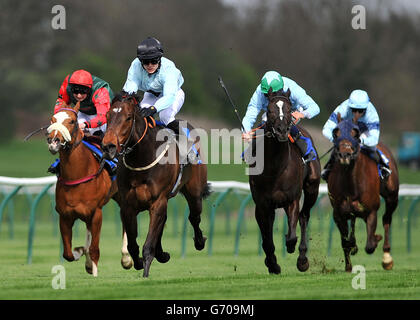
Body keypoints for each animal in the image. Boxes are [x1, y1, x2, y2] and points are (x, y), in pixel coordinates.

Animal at [45, 102, 132, 276]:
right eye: (52, 119)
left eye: (72, 121)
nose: (53, 141)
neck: (78, 174)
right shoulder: (65, 215)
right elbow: (68, 253)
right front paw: (80, 253)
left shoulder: (97, 213)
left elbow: (94, 249)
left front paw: (94, 271)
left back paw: (126, 257)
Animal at [100, 92, 208, 278]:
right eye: (107, 116)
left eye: (128, 117)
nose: (108, 147)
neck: (142, 157)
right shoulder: (128, 206)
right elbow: (132, 244)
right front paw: (138, 262)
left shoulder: (157, 201)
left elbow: (148, 243)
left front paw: (146, 272)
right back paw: (162, 254)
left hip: (194, 192)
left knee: (194, 217)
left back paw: (199, 242)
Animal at [248, 89, 320, 274]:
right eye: (269, 110)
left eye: (289, 108)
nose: (281, 130)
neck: (276, 168)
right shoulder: (262, 204)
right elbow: (267, 240)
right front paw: (272, 264)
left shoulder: (291, 199)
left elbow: (292, 235)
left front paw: (292, 248)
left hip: (312, 188)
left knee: (304, 216)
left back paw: (302, 259)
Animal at [326, 112, 398, 270]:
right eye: (335, 133)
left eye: (355, 133)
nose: (345, 155)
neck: (351, 184)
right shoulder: (338, 214)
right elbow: (345, 242)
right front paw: (348, 265)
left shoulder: (371, 211)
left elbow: (370, 245)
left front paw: (376, 238)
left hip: (392, 196)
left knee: (387, 219)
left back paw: (387, 258)